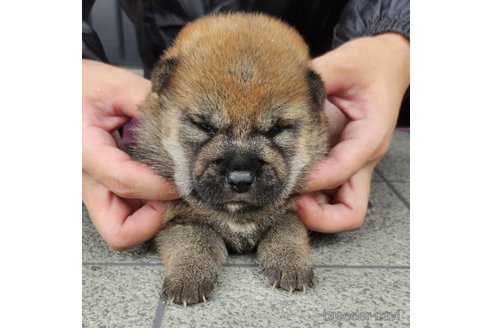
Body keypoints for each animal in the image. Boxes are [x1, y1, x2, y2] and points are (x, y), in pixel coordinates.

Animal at [133, 12, 328, 304]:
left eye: (276, 130)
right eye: (204, 126)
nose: (241, 179)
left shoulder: (292, 211)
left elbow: (287, 230)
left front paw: (290, 265)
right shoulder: (179, 219)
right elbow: (193, 242)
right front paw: (187, 279)